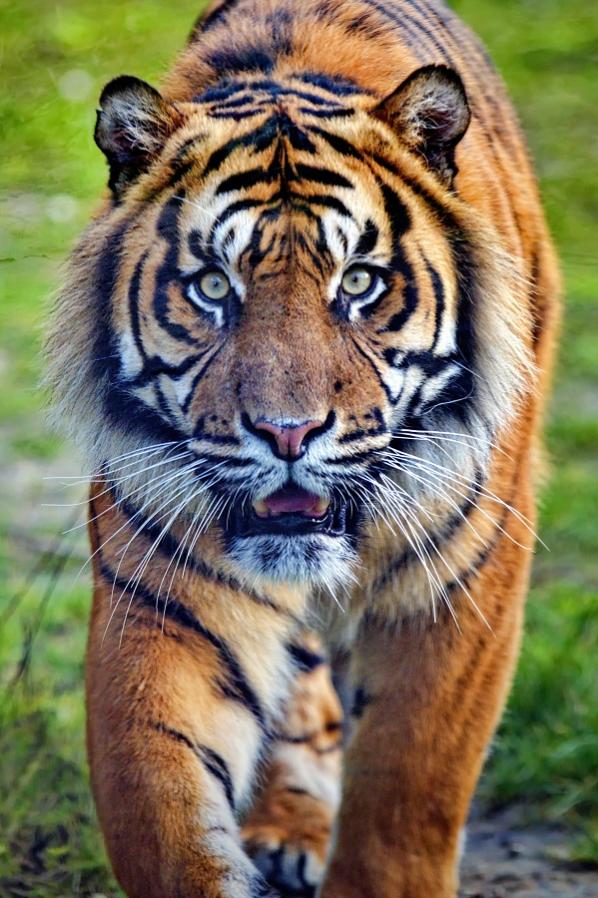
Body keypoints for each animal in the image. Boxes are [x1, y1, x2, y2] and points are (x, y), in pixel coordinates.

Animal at [46, 0, 560, 896]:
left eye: (358, 283)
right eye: (213, 287)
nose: (288, 432)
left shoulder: (458, 590)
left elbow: (403, 795)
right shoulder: (162, 600)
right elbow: (163, 814)